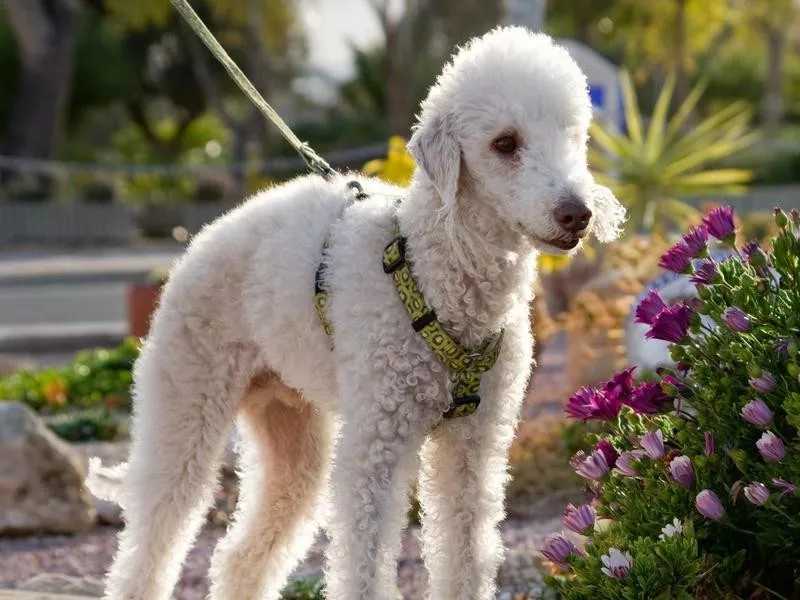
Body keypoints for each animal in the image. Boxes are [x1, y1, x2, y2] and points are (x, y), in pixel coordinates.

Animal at [87, 27, 624, 600]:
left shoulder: (474, 447)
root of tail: (197, 245)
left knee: (240, 557)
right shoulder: (376, 445)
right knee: (155, 534)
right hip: (187, 397)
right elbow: (363, 562)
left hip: (290, 427)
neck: (434, 271)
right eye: (505, 143)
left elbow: (467, 553)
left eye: (574, 137)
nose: (577, 214)